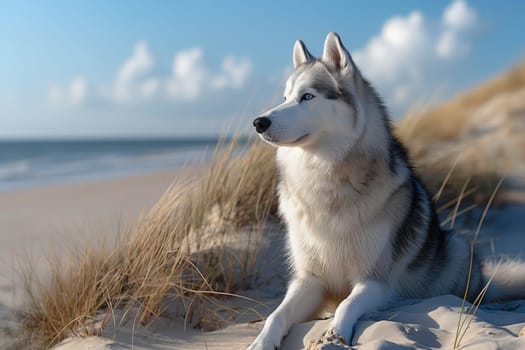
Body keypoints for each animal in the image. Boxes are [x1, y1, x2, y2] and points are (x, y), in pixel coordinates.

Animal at [248, 31, 524, 348]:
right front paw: (261, 341)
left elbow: (347, 304)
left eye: (307, 97)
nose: (258, 122)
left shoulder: (374, 281)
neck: (326, 179)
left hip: (457, 246)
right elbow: (277, 315)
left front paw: (335, 335)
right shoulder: (310, 280)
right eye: (284, 99)